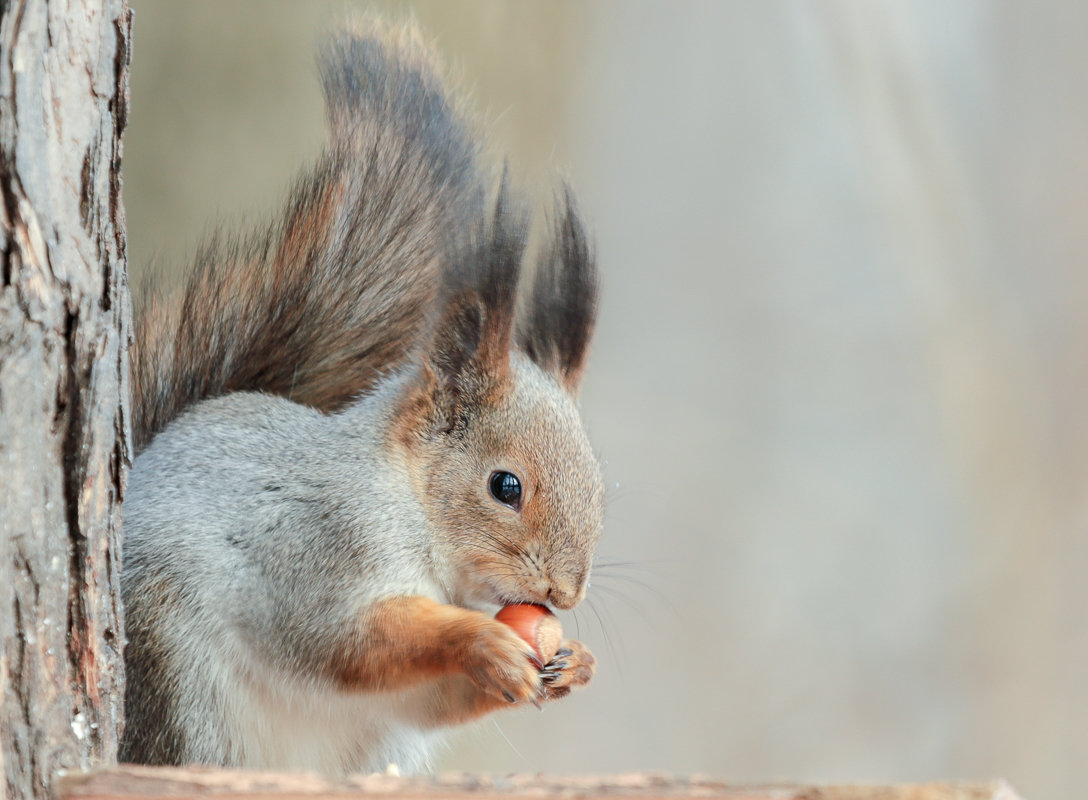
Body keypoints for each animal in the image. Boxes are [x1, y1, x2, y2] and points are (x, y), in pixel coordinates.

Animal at [123, 21, 609, 779]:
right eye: (505, 486)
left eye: (599, 490)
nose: (566, 593)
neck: (411, 505)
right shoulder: (314, 548)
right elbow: (347, 639)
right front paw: (479, 639)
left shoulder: (404, 698)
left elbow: (426, 697)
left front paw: (576, 663)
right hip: (171, 672)